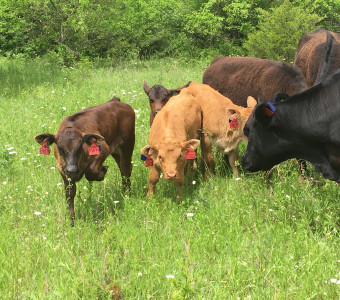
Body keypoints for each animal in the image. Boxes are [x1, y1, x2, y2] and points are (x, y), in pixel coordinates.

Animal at [34, 97, 135, 226]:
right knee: (123, 169)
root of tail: (116, 101)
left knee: (126, 170)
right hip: (117, 151)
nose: (72, 169)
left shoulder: (103, 149)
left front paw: (102, 171)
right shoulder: (63, 169)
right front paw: (71, 221)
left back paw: (127, 194)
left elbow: (91, 171)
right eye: (60, 148)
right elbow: (70, 193)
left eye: (79, 146)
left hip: (127, 144)